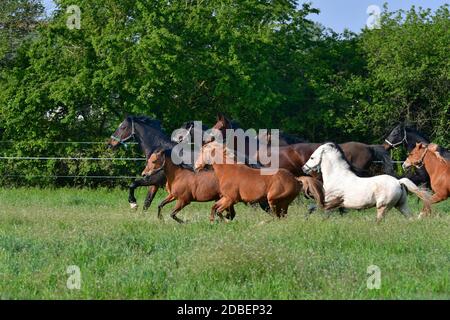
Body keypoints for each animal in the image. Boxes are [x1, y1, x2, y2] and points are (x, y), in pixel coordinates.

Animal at [193, 142, 338, 220]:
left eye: (201, 152)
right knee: (282, 217)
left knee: (277, 217)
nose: (196, 167)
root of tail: (296, 179)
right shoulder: (225, 198)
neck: (228, 170)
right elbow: (214, 208)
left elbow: (219, 211)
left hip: (273, 200)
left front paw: (224, 220)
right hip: (283, 203)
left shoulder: (231, 199)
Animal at [300, 143, 430, 221]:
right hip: (401, 205)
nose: (304, 168)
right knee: (410, 218)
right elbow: (313, 208)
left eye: (312, 157)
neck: (337, 177)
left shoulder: (329, 202)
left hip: (383, 207)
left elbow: (314, 208)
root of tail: (398, 182)